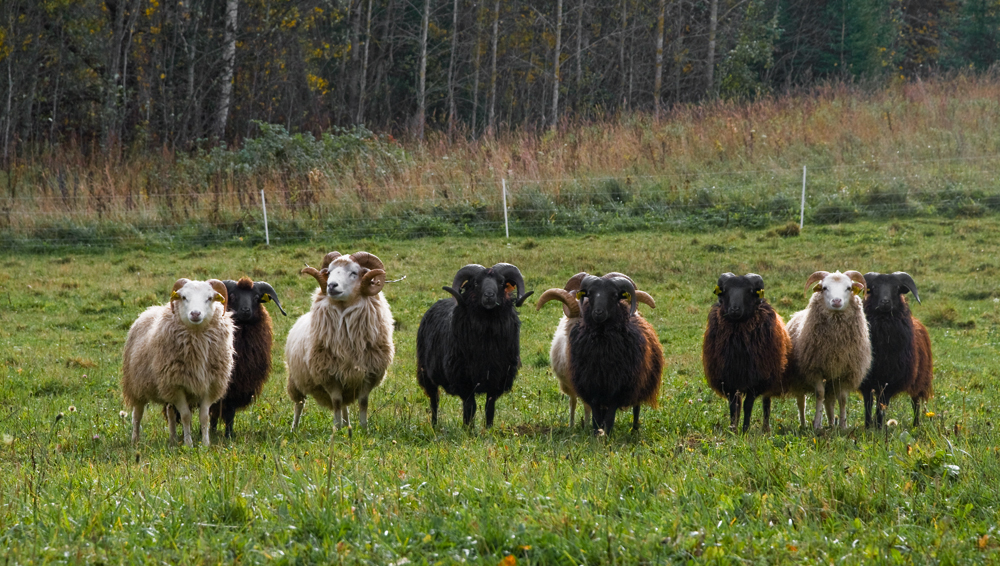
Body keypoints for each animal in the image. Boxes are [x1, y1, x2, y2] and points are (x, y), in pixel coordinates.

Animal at [122, 278, 235, 448]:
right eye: (183, 297)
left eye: (209, 298)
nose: (195, 313)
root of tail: (147, 311)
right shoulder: (177, 385)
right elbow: (186, 416)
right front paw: (189, 444)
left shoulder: (209, 384)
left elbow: (204, 416)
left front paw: (205, 444)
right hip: (137, 385)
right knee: (137, 414)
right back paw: (135, 440)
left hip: (165, 387)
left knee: (169, 411)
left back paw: (173, 439)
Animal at [284, 251, 392, 432]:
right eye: (329, 272)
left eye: (354, 273)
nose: (331, 286)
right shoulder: (329, 375)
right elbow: (336, 402)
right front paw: (336, 430)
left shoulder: (368, 374)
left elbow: (363, 403)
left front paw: (364, 429)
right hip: (296, 379)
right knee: (299, 404)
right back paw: (294, 429)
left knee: (345, 407)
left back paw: (347, 426)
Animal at [416, 264, 536, 428]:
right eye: (476, 283)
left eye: (501, 282)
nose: (489, 296)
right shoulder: (464, 379)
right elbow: (470, 407)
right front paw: (468, 428)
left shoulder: (497, 378)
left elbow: (489, 408)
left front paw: (488, 429)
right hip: (426, 374)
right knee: (434, 400)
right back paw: (434, 425)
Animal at [784, 270, 872, 430]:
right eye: (824, 288)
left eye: (849, 288)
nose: (836, 301)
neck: (834, 345)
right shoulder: (815, 370)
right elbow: (819, 394)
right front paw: (817, 424)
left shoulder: (845, 373)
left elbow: (842, 399)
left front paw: (843, 425)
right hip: (798, 379)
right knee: (801, 401)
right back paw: (803, 424)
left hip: (831, 381)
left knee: (829, 402)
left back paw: (831, 423)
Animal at [860, 272, 928, 428]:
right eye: (874, 287)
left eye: (896, 288)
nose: (885, 302)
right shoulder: (867, 380)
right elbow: (868, 405)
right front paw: (867, 426)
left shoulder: (890, 381)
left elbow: (881, 407)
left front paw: (878, 427)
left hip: (919, 379)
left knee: (915, 402)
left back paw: (916, 424)